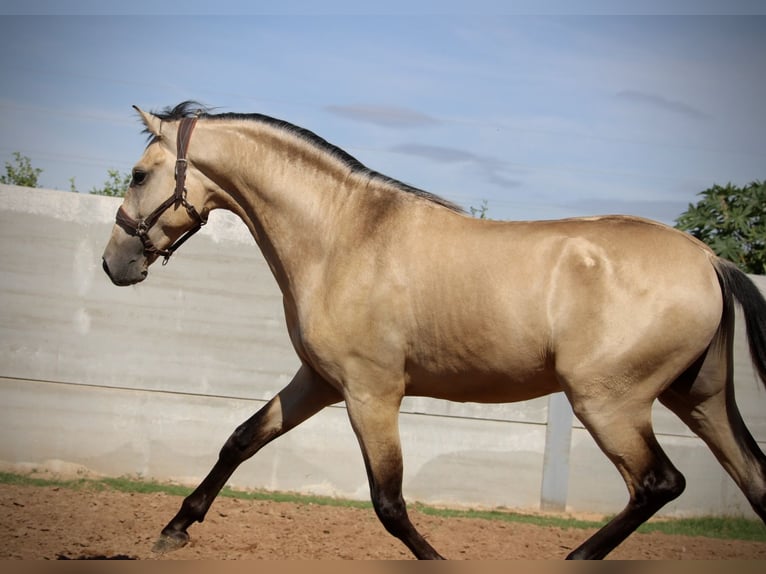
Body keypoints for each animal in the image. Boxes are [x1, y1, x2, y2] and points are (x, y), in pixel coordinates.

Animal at [103, 101, 766, 560]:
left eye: (138, 174)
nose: (114, 264)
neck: (344, 236)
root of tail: (709, 259)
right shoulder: (319, 381)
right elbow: (241, 440)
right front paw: (173, 530)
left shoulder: (371, 394)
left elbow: (389, 502)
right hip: (699, 399)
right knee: (753, 480)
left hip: (610, 403)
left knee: (659, 483)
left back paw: (578, 556)